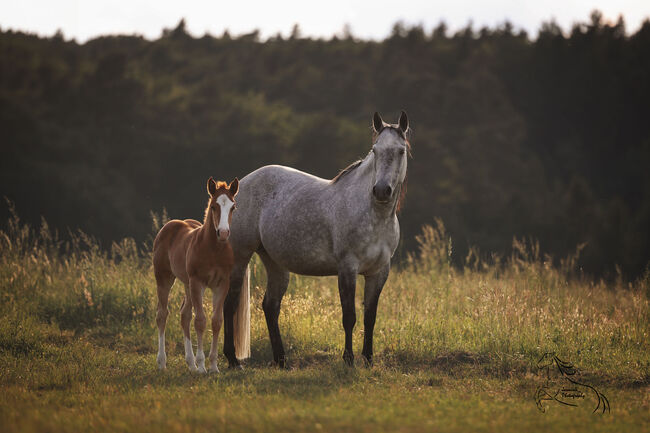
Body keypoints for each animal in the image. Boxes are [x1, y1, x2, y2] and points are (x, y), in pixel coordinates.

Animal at [152, 177, 250, 373]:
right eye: (213, 206)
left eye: (233, 207)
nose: (223, 233)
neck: (213, 249)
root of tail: (169, 225)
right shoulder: (198, 282)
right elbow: (200, 321)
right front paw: (202, 366)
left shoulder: (221, 284)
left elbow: (216, 321)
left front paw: (213, 366)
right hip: (164, 278)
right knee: (162, 314)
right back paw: (162, 362)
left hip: (187, 284)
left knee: (184, 315)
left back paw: (190, 363)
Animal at [221, 111, 410, 368]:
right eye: (375, 150)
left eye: (401, 151)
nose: (381, 191)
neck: (374, 215)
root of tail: (239, 187)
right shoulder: (347, 268)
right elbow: (349, 317)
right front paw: (348, 360)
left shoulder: (380, 271)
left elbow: (370, 317)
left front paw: (369, 359)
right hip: (240, 257)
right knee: (229, 305)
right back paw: (233, 360)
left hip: (275, 264)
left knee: (270, 306)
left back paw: (281, 360)